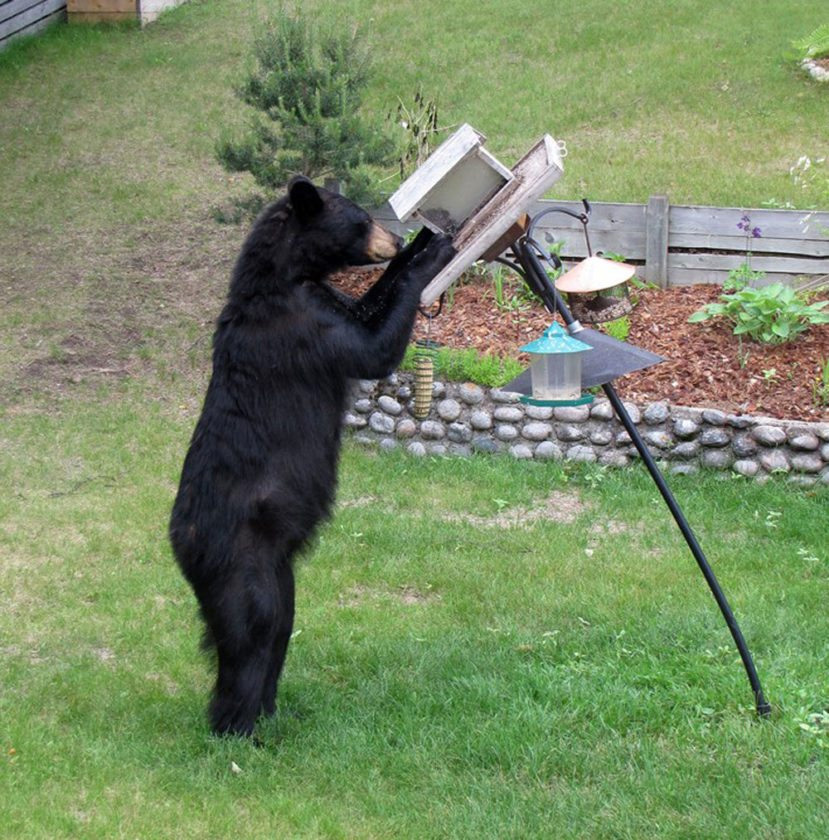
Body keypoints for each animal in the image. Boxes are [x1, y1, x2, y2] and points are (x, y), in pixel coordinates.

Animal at [169, 176, 455, 737]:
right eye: (362, 220)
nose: (392, 239)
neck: (281, 279)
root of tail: (182, 545)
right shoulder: (302, 326)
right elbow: (371, 350)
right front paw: (430, 253)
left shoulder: (325, 300)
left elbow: (365, 309)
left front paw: (416, 247)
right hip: (240, 559)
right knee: (252, 631)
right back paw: (238, 728)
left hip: (279, 568)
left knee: (282, 624)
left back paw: (271, 714)